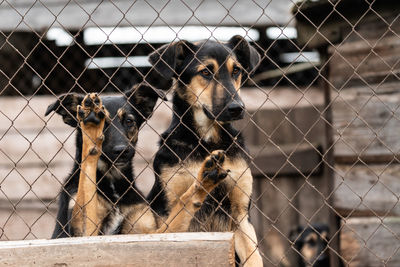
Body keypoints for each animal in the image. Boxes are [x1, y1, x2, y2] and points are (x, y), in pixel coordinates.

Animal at [146, 35, 262, 266]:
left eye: (236, 71)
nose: (237, 108)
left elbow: (254, 257)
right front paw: (203, 179)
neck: (206, 142)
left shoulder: (241, 217)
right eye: (206, 72)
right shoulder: (166, 220)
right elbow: (183, 204)